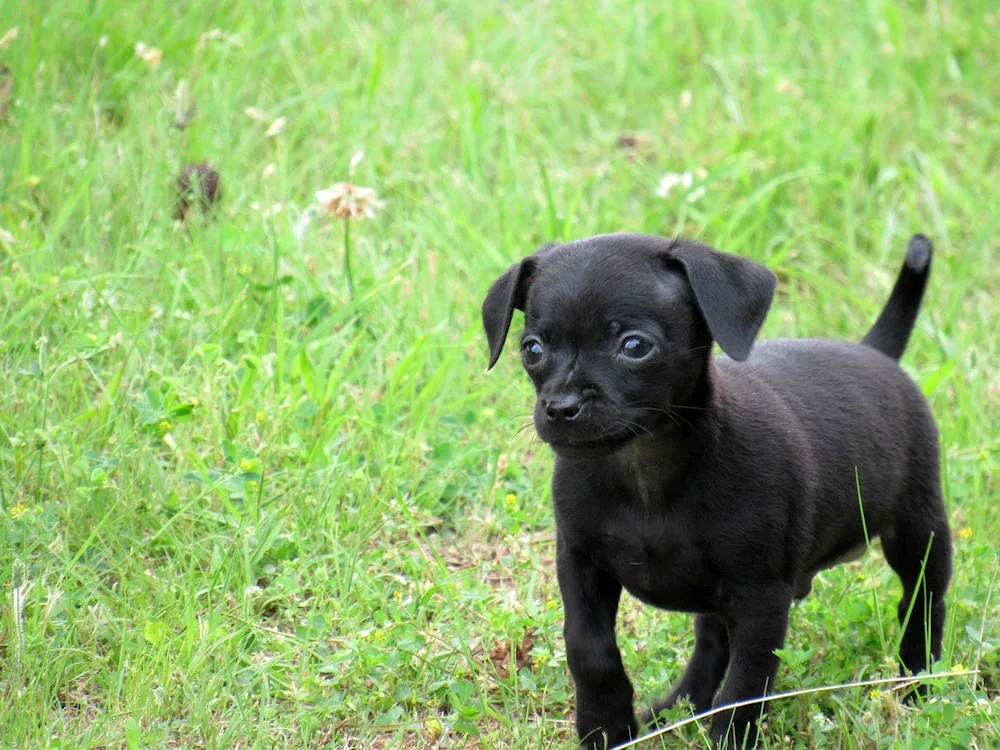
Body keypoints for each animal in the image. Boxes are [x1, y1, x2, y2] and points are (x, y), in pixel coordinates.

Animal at [484, 235, 952, 750]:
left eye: (634, 346)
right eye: (532, 348)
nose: (560, 407)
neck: (643, 473)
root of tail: (875, 352)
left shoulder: (761, 598)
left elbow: (746, 683)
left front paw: (728, 737)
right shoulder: (580, 563)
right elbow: (589, 648)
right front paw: (606, 726)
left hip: (919, 531)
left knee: (922, 601)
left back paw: (917, 682)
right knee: (711, 641)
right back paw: (678, 707)